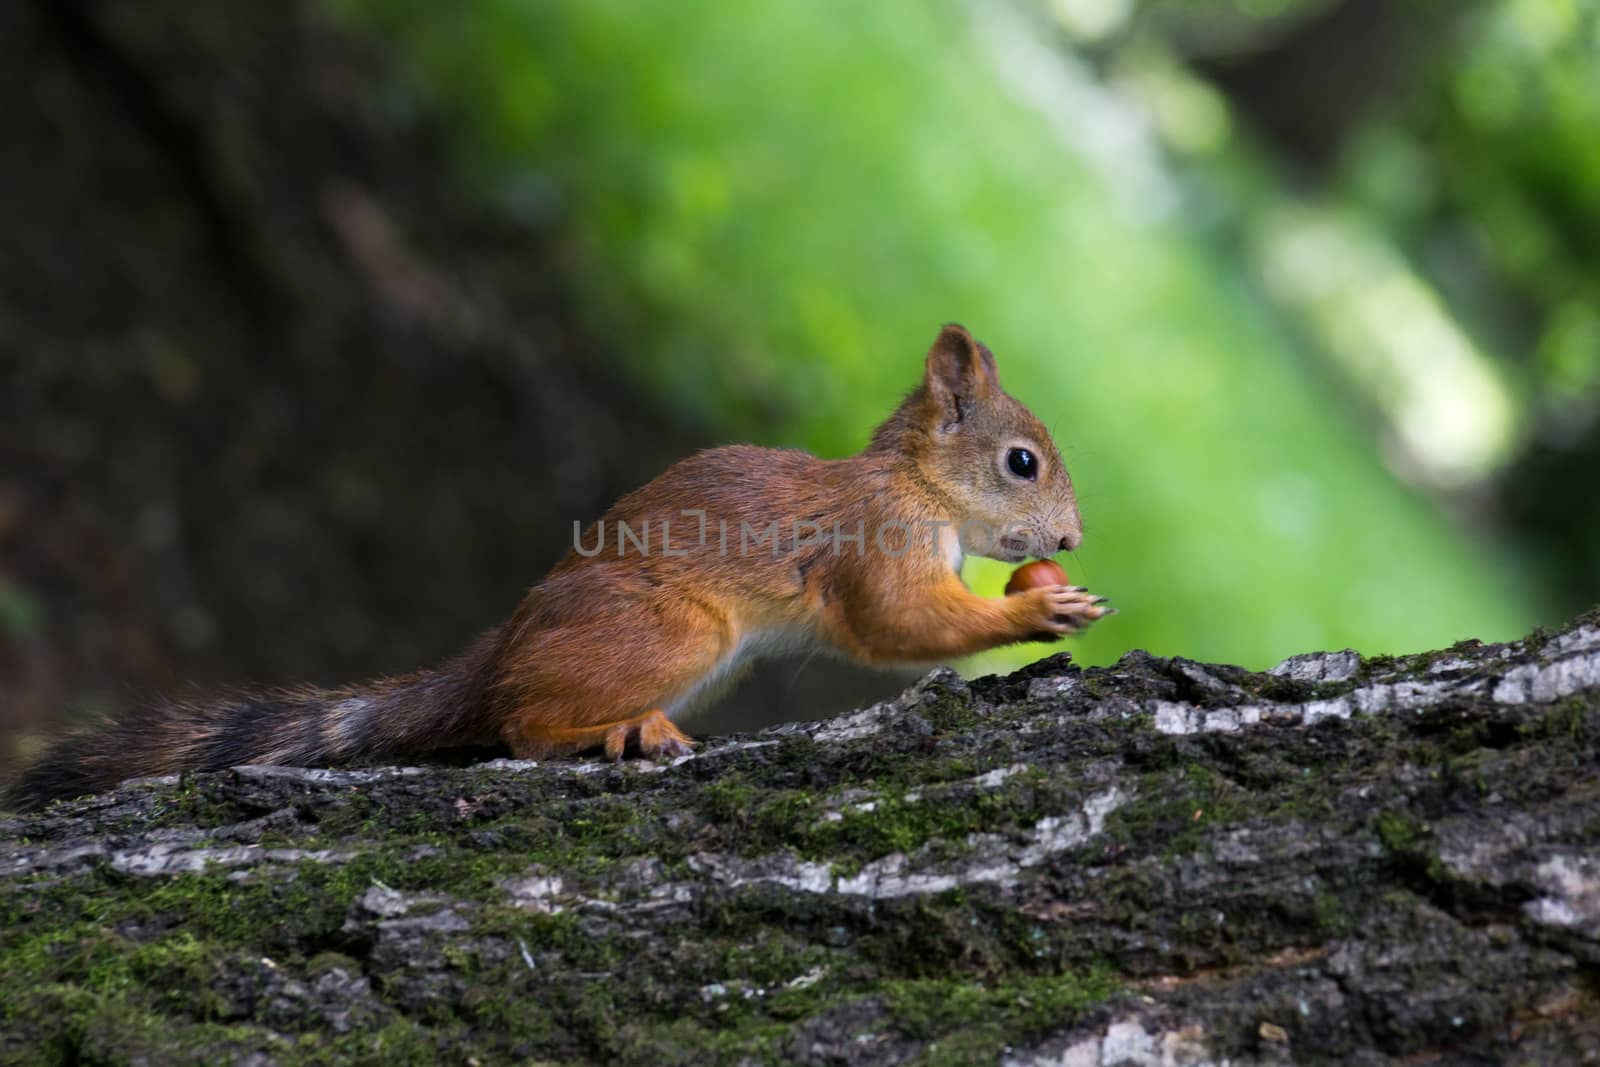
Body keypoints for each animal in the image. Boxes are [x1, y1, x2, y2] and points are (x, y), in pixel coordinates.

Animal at [9, 326, 1113, 809]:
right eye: (1021, 462)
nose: (1068, 540)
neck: (921, 487)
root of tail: (498, 651)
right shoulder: (875, 541)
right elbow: (896, 623)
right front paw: (1035, 616)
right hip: (671, 631)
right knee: (521, 726)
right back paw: (616, 729)